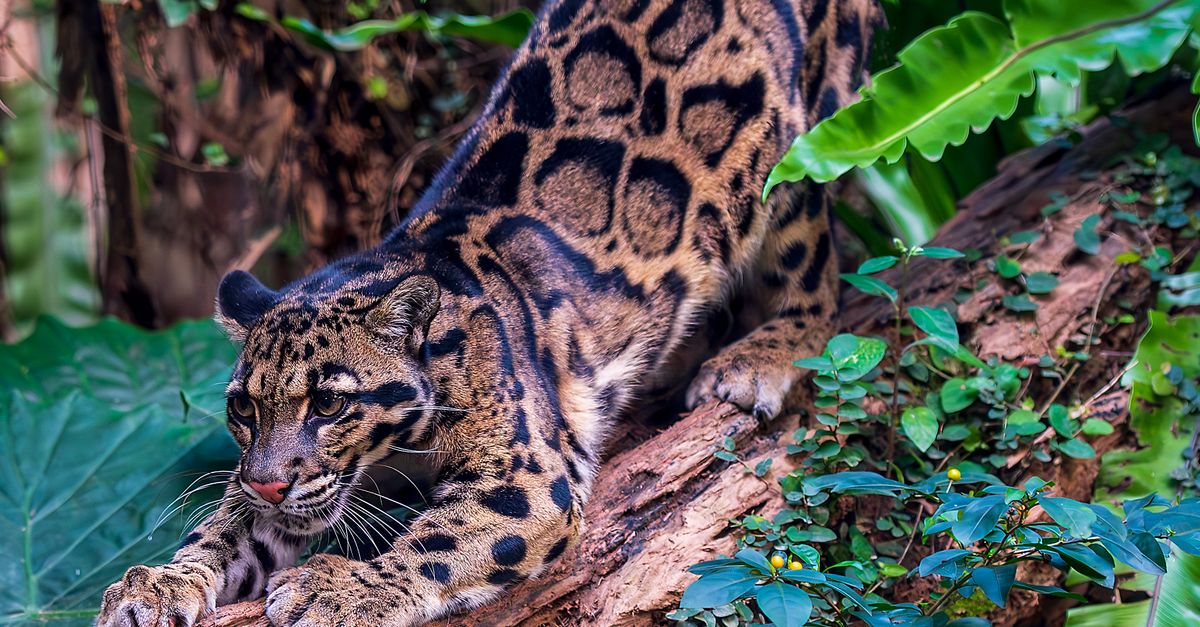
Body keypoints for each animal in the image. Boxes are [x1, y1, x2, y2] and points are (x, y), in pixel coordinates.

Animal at [96, 0, 880, 625]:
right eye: (242, 409)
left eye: (329, 404)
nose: (267, 480)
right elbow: (223, 527)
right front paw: (158, 583)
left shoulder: (529, 474)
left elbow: (436, 543)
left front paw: (342, 588)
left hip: (797, 160)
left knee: (820, 277)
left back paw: (756, 358)